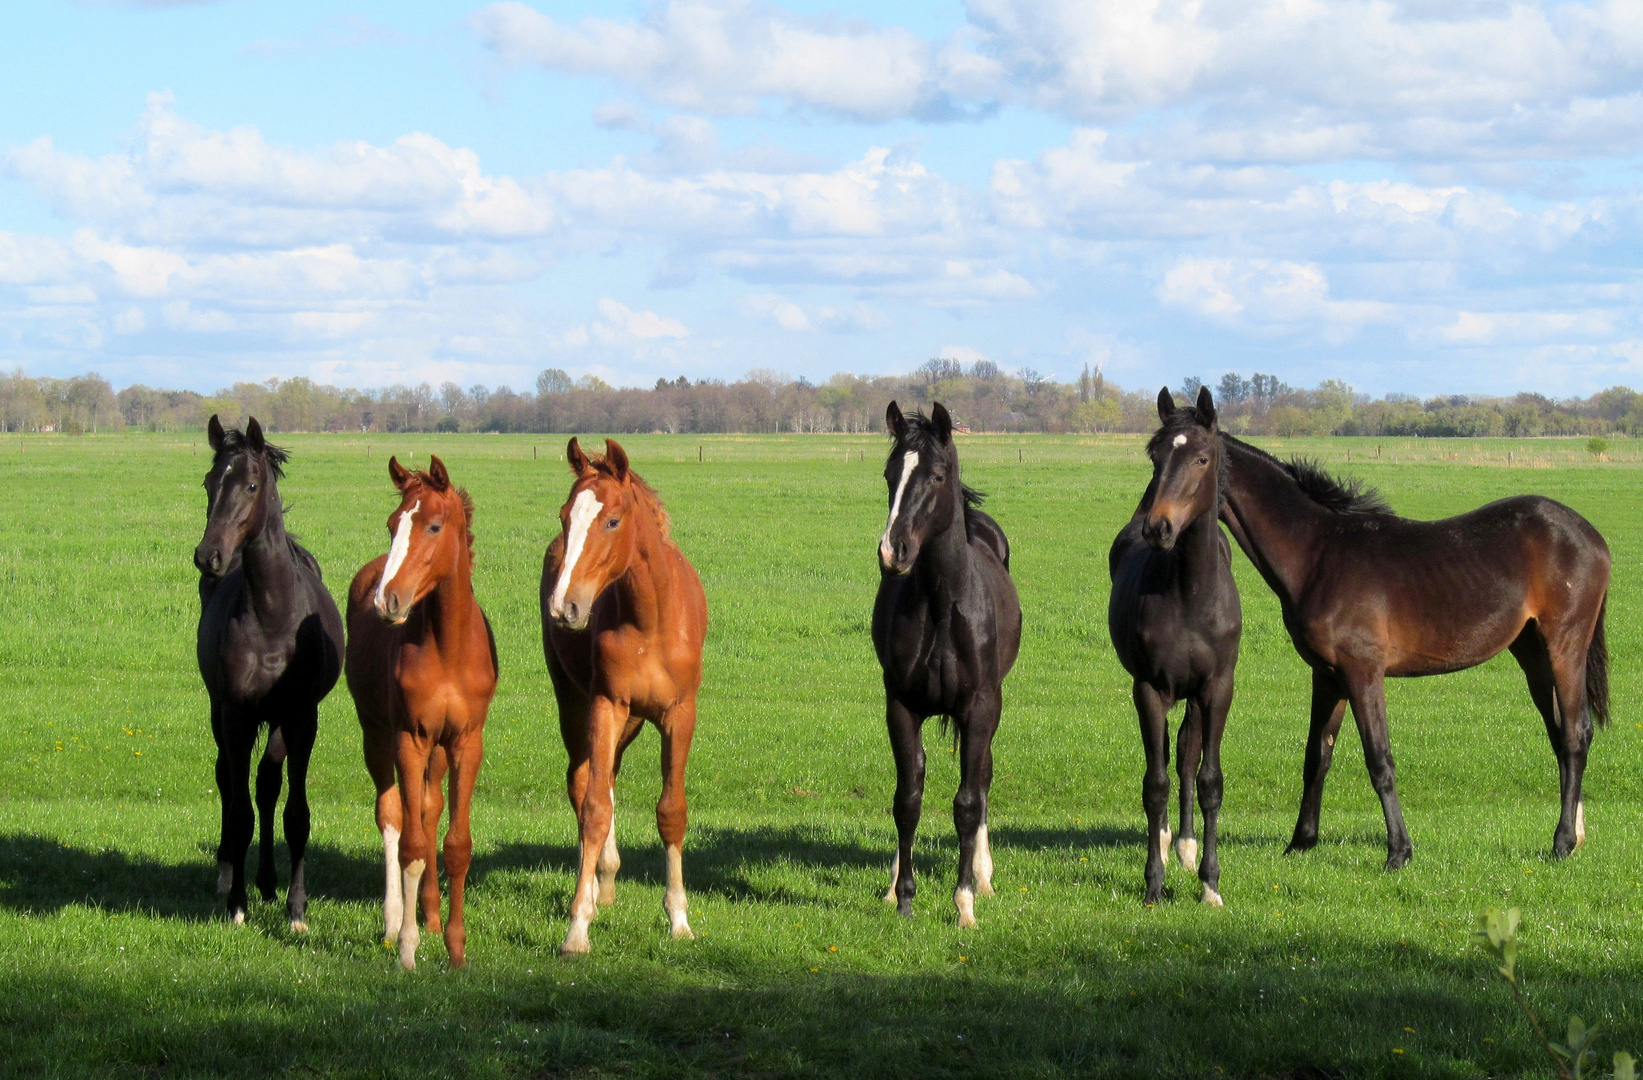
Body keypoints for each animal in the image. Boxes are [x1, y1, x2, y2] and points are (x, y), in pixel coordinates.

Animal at [193, 412, 341, 927]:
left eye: (252, 484)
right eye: (208, 481)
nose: (208, 556)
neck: (274, 617)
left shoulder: (301, 717)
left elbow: (294, 812)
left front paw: (297, 908)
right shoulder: (237, 714)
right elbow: (239, 812)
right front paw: (237, 905)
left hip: (277, 722)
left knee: (267, 785)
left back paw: (269, 881)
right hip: (219, 712)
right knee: (229, 779)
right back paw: (227, 875)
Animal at [345, 453, 492, 966]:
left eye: (433, 525)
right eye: (393, 524)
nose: (387, 600)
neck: (447, 647)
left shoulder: (465, 742)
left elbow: (455, 844)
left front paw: (456, 949)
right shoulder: (409, 737)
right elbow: (409, 843)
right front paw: (407, 951)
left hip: (439, 751)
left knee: (428, 809)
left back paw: (428, 914)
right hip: (376, 734)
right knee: (393, 815)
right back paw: (396, 921)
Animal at [538, 433, 706, 953]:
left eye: (612, 520)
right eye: (565, 515)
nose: (564, 607)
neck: (650, 618)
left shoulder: (679, 714)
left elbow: (671, 810)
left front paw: (679, 918)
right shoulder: (604, 706)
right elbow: (594, 808)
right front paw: (578, 926)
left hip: (631, 721)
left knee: (608, 773)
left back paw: (608, 881)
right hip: (575, 706)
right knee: (584, 782)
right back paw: (594, 889)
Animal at [867, 399, 1018, 920]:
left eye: (935, 476)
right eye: (889, 474)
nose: (892, 551)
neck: (939, 602)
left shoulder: (980, 708)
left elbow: (969, 802)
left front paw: (965, 900)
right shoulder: (901, 706)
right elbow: (907, 799)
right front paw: (904, 896)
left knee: (983, 777)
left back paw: (984, 875)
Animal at [1104, 384, 1242, 900]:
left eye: (1202, 458)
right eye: (1155, 455)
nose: (1158, 528)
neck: (1190, 595)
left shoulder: (1216, 689)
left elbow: (1208, 779)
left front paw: (1210, 883)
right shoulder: (1149, 688)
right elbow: (1155, 783)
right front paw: (1153, 884)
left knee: (1186, 757)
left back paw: (1184, 845)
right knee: (1169, 759)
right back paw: (1167, 844)